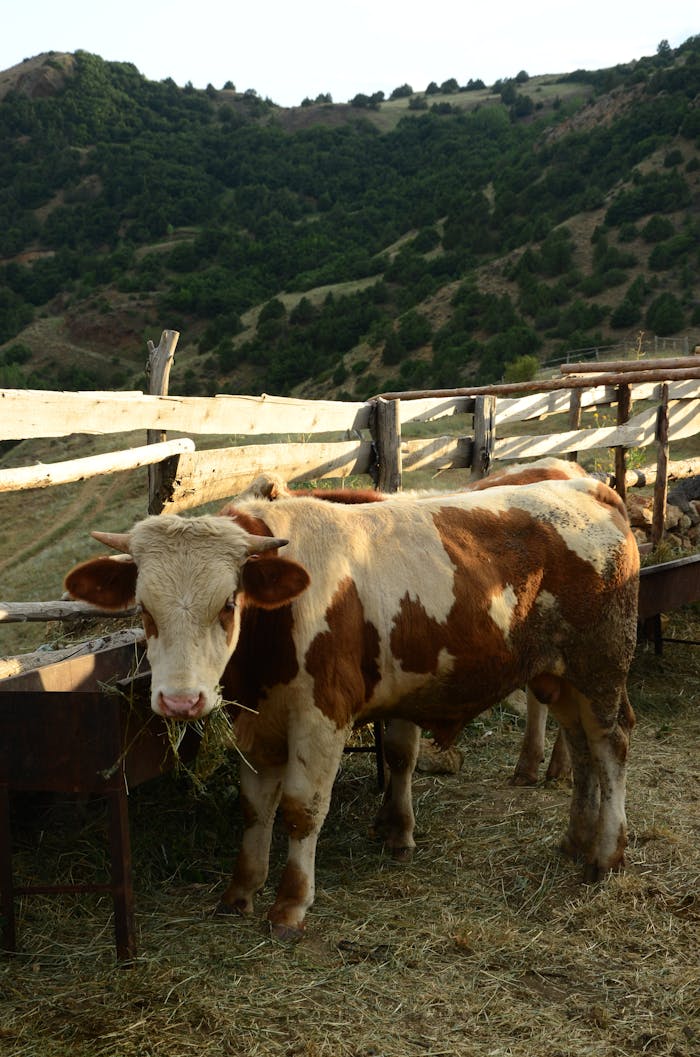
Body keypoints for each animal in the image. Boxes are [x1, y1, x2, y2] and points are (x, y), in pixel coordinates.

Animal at [64, 475, 639, 937]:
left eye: (228, 603)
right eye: (143, 608)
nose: (180, 700)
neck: (278, 625)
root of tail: (590, 487)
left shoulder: (322, 718)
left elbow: (301, 809)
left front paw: (291, 904)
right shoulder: (257, 721)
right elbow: (255, 807)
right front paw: (240, 891)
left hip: (601, 667)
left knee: (611, 748)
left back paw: (607, 854)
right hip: (559, 678)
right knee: (582, 750)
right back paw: (575, 840)